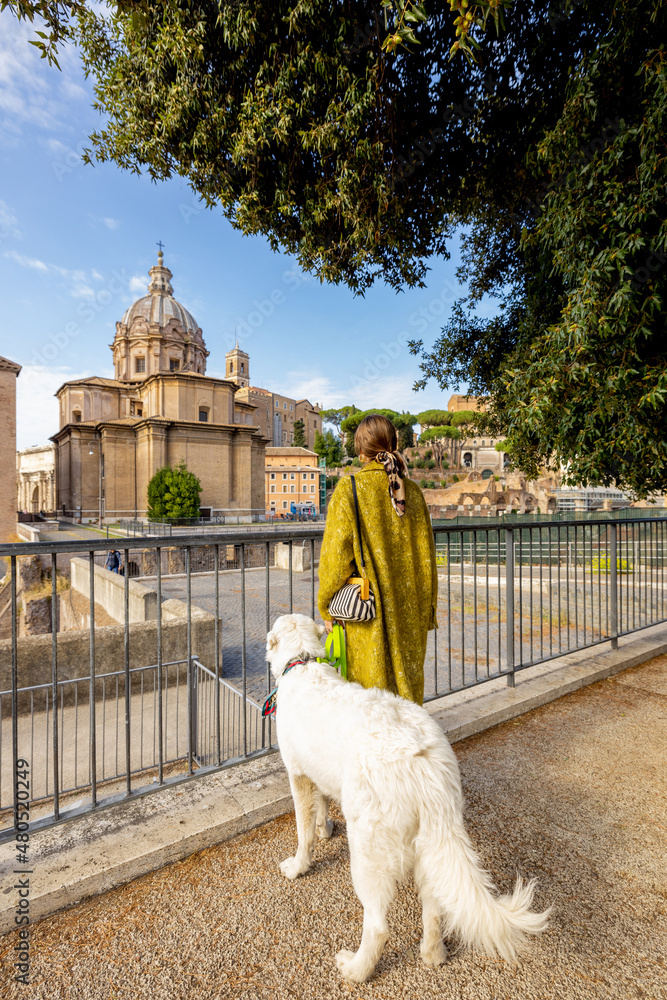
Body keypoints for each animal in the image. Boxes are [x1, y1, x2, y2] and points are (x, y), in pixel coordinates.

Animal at [266, 612, 552, 980]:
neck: (302, 663)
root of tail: (425, 765)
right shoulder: (317, 774)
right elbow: (322, 807)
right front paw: (325, 827)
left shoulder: (298, 775)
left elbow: (303, 830)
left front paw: (298, 865)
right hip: (430, 842)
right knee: (434, 905)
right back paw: (433, 954)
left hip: (369, 852)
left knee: (378, 926)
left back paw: (355, 969)